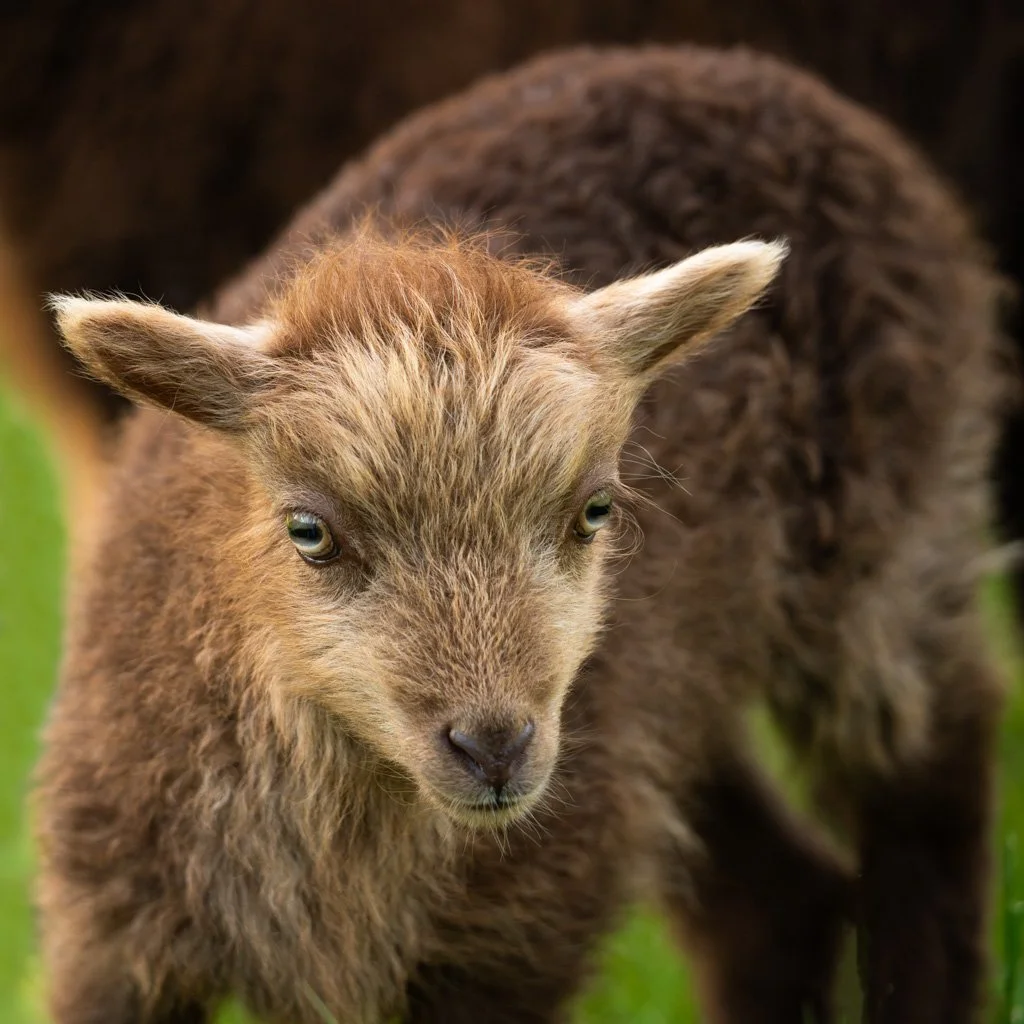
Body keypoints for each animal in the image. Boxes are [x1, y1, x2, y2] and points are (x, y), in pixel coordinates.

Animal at [36, 46, 1007, 1024]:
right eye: (309, 531)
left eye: (594, 511)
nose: (495, 746)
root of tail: (707, 65)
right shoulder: (111, 933)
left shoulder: (510, 945)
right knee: (782, 900)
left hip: (889, 530)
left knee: (931, 777)